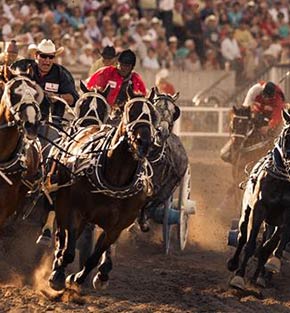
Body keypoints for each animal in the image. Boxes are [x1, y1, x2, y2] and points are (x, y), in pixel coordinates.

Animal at [48, 91, 160, 290]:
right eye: (131, 111)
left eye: (154, 115)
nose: (144, 143)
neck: (115, 178)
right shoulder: (75, 209)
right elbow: (68, 250)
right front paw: (59, 274)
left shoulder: (116, 227)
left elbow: (94, 257)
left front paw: (78, 278)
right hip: (62, 202)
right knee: (61, 235)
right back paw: (57, 266)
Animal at [227, 108, 290, 288]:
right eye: (286, 134)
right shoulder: (259, 208)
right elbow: (250, 243)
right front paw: (239, 277)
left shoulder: (286, 215)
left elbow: (272, 244)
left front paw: (271, 265)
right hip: (246, 210)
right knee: (242, 236)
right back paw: (234, 264)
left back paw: (261, 275)